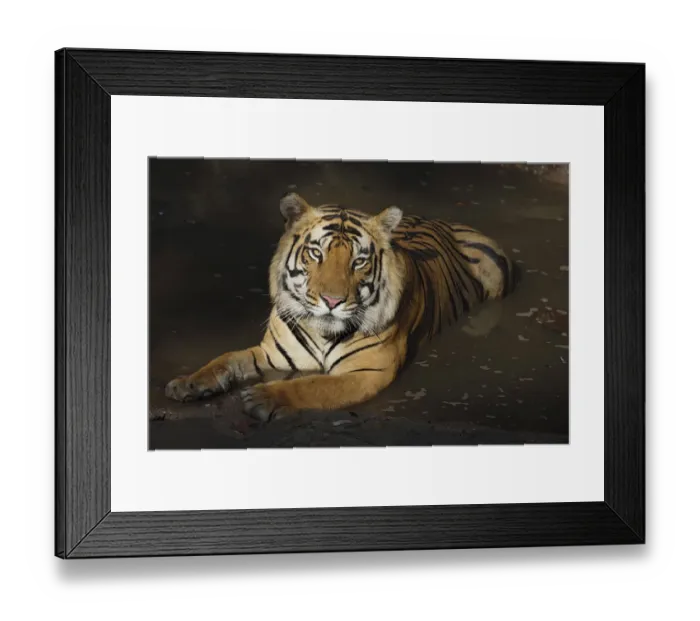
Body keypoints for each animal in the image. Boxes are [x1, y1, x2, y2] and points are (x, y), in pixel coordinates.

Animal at [165, 192, 516, 421]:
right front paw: (187, 383)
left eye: (359, 261)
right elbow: (225, 360)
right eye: (315, 253)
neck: (321, 333)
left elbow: (315, 385)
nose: (332, 302)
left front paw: (264, 396)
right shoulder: (273, 354)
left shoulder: (368, 370)